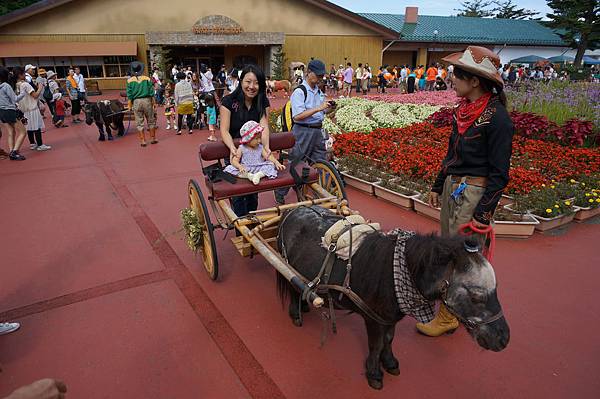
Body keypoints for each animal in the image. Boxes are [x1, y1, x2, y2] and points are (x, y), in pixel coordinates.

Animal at [278, 206, 510, 390]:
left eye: (496, 288)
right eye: (476, 295)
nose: (504, 339)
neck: (394, 273)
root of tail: (293, 210)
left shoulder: (389, 317)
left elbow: (388, 339)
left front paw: (390, 363)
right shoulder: (372, 318)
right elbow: (376, 344)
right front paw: (374, 373)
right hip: (287, 264)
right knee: (292, 287)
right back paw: (296, 313)